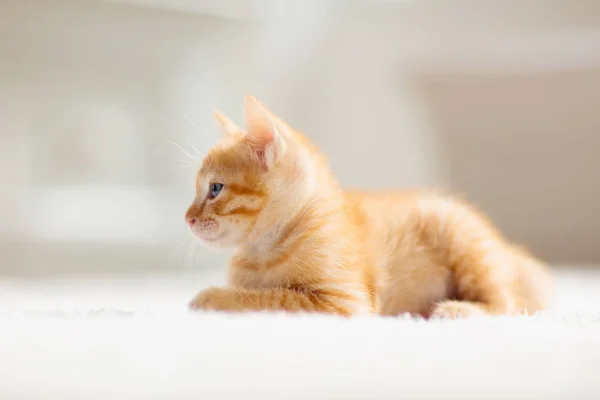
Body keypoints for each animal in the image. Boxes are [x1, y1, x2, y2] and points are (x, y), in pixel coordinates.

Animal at [184, 96, 552, 318]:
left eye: (215, 189)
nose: (187, 218)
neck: (263, 252)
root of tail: (509, 252)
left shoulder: (343, 302)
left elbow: (273, 298)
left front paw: (213, 298)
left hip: (466, 243)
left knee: (507, 303)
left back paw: (457, 310)